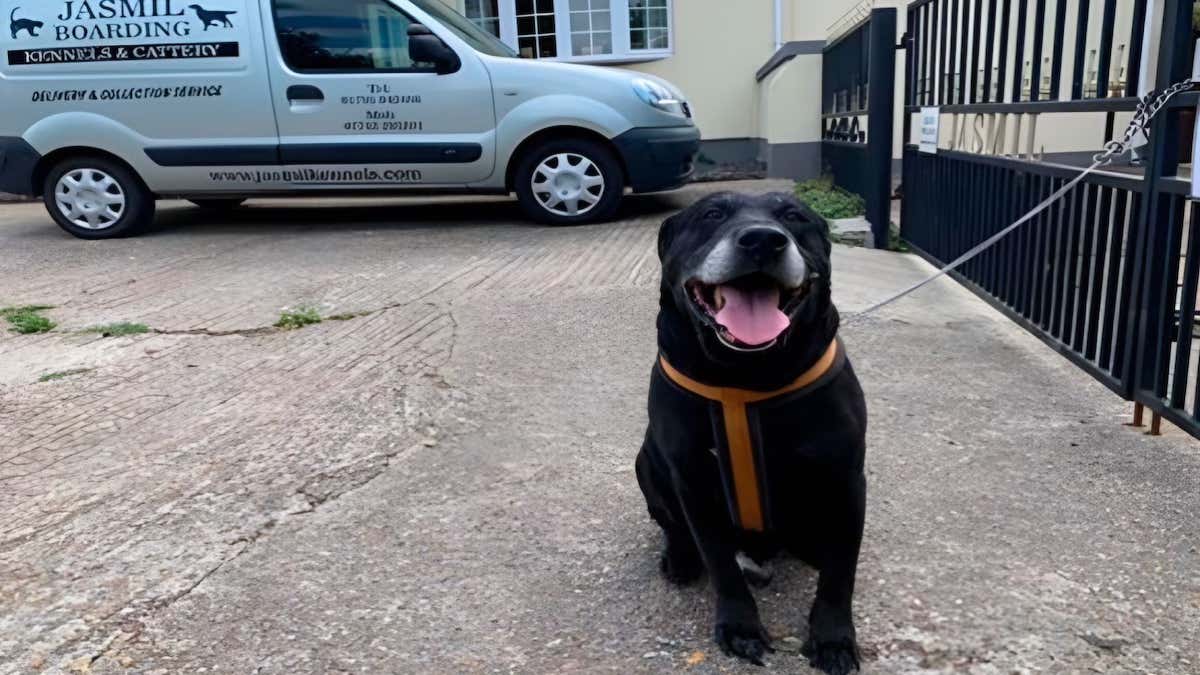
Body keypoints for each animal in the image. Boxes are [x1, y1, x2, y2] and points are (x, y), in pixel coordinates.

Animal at [633, 192, 868, 667]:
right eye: (711, 214)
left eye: (794, 216)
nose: (762, 240)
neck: (746, 373)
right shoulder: (693, 484)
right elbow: (721, 564)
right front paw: (740, 626)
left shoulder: (846, 481)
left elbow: (840, 572)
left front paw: (833, 638)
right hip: (644, 460)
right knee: (671, 523)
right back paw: (680, 557)